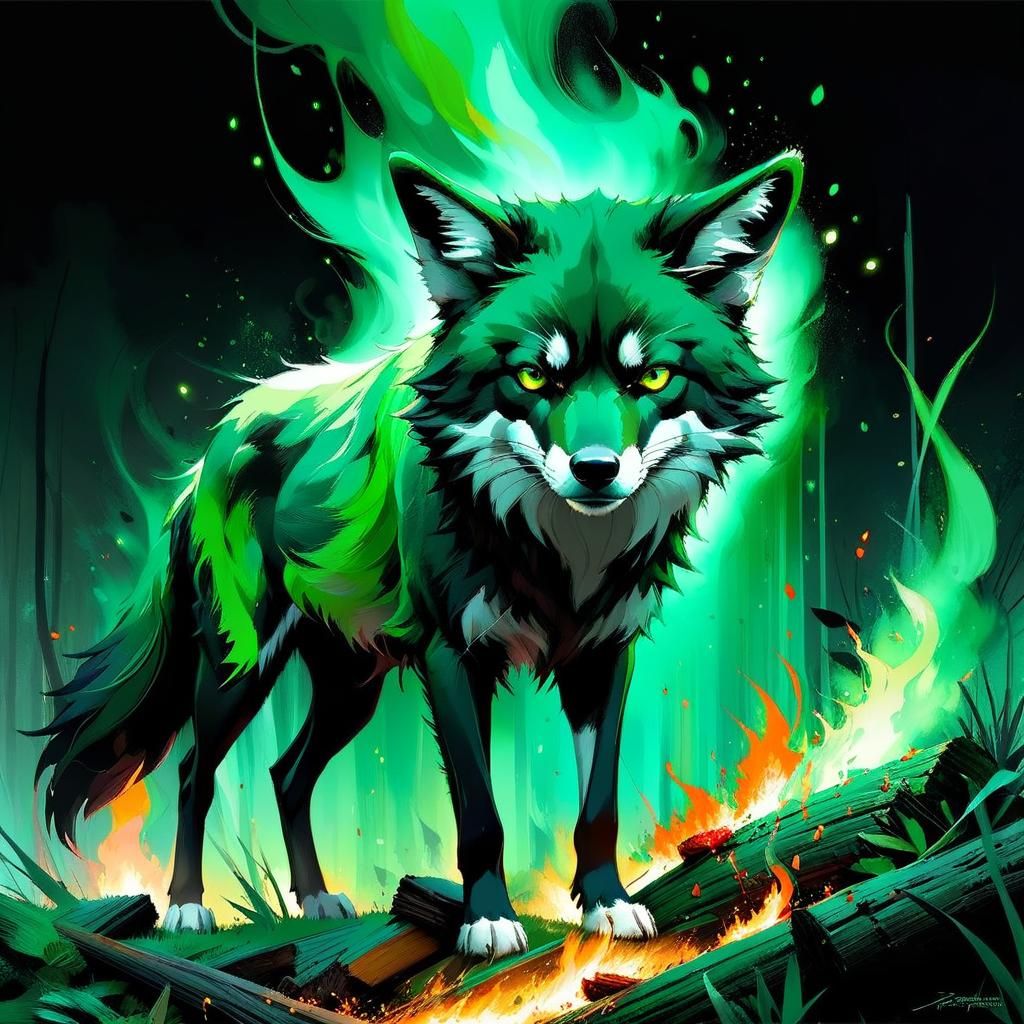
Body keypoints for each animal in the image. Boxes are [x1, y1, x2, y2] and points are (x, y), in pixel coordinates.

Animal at [33, 151, 802, 958]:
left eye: (650, 375)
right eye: (534, 375)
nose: (596, 471)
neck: (561, 555)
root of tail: (216, 441)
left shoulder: (604, 655)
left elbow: (599, 804)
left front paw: (607, 905)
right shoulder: (452, 657)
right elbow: (482, 813)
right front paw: (488, 920)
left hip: (351, 689)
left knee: (285, 774)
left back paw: (316, 899)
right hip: (240, 669)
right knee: (192, 771)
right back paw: (186, 906)